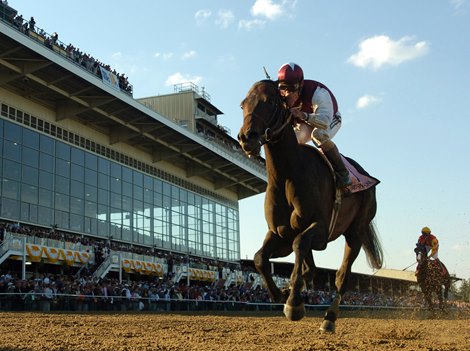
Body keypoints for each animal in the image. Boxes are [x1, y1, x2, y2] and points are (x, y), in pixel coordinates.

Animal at [239, 81, 382, 334]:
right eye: (243, 104)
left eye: (271, 101)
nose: (247, 137)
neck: (287, 175)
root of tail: (366, 175)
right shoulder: (280, 234)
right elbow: (259, 258)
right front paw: (282, 294)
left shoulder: (321, 230)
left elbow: (300, 244)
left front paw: (294, 304)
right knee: (310, 267)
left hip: (355, 231)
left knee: (342, 276)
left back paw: (329, 318)